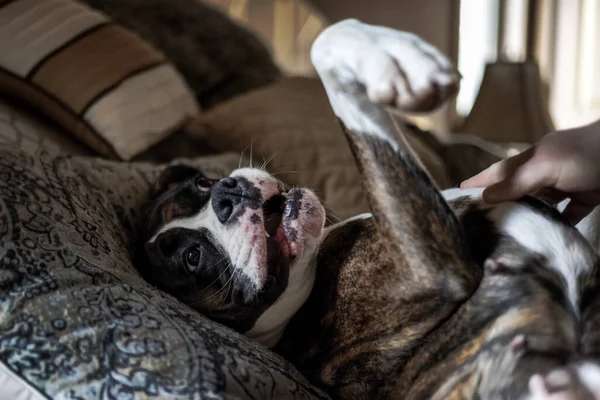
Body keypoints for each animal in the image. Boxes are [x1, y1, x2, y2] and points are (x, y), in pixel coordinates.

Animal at [138, 19, 600, 400]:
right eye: (193, 258)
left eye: (201, 184)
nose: (226, 195)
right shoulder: (434, 269)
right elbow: (324, 44)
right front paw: (396, 62)